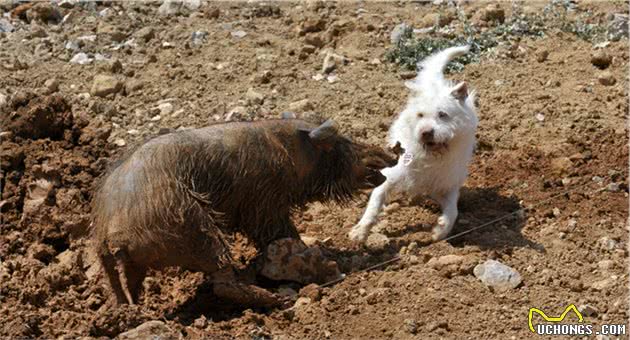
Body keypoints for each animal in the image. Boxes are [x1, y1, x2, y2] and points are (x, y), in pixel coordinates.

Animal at [350, 45, 478, 242]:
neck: (432, 157)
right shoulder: (393, 174)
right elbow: (376, 199)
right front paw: (360, 231)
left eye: (442, 114)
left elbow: (453, 211)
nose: (425, 132)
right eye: (420, 115)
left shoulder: (445, 185)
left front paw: (441, 230)